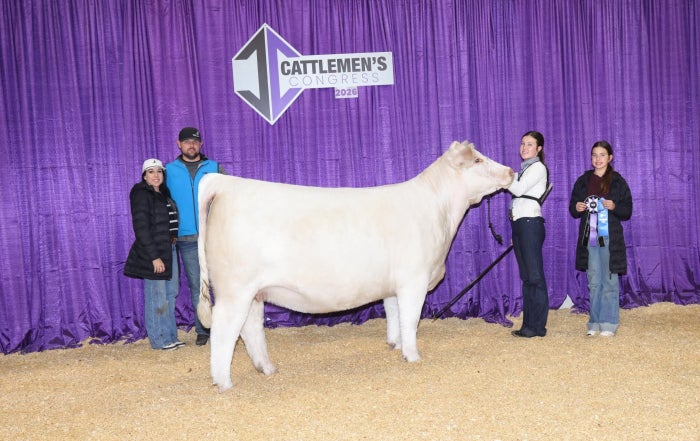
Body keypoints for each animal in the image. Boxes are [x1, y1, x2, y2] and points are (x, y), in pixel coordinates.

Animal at [196, 140, 514, 391]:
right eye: (477, 160)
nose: (511, 171)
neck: (440, 212)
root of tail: (227, 184)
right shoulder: (414, 279)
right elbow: (410, 319)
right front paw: (412, 356)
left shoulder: (393, 285)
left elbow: (394, 315)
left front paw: (394, 345)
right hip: (235, 289)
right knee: (224, 328)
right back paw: (223, 382)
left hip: (254, 292)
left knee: (250, 328)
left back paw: (266, 368)